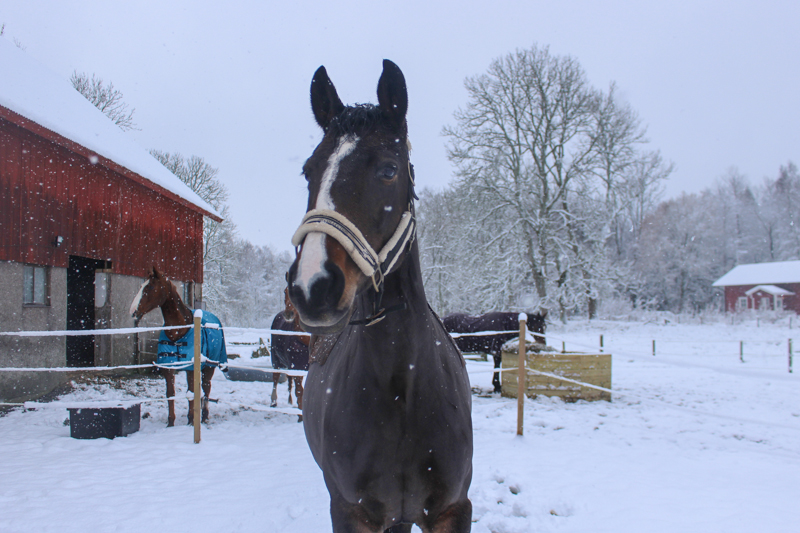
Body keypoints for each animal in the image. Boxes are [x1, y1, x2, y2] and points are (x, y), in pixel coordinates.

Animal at [130, 267, 227, 426]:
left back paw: (204, 417)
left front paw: (191, 421)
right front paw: (171, 423)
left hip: (209, 367)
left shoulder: (191, 368)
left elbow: (191, 393)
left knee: (206, 388)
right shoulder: (169, 367)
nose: (132, 311)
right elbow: (170, 394)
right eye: (141, 285)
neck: (178, 332)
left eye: (150, 287)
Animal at [286, 60, 473, 533]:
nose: (312, 285)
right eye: (309, 171)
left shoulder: (452, 510)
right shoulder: (350, 511)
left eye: (389, 170)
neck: (401, 388)